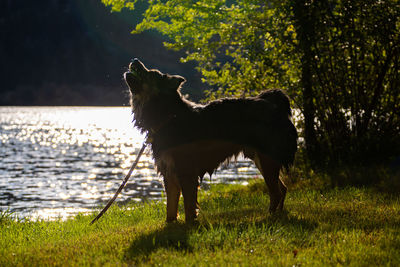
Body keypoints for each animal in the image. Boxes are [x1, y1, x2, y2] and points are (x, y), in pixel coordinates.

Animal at [125, 59, 296, 224]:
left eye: (151, 73)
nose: (134, 59)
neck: (168, 117)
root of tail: (275, 105)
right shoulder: (169, 171)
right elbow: (171, 207)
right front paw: (170, 225)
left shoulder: (186, 170)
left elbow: (188, 204)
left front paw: (189, 224)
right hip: (262, 158)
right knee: (282, 188)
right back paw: (279, 213)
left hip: (267, 159)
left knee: (276, 192)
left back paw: (270, 216)